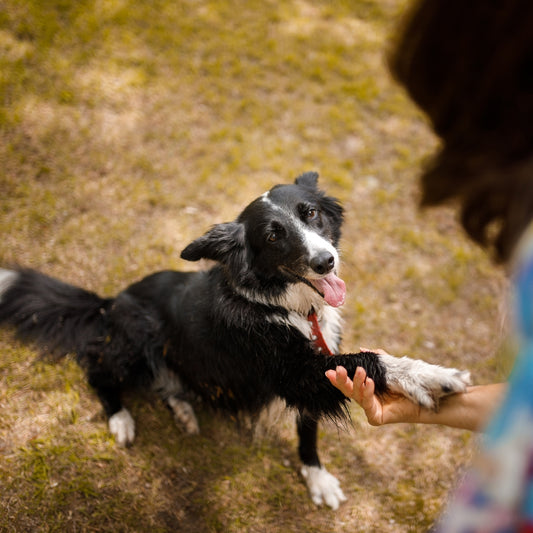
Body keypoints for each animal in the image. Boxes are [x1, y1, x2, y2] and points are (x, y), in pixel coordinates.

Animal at [0, 172, 470, 510]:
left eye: (311, 213)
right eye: (274, 236)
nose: (326, 261)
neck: (289, 307)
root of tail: (108, 302)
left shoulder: (315, 371)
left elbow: (309, 433)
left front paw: (316, 478)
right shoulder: (297, 374)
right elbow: (369, 359)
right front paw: (430, 377)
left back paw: (183, 408)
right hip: (134, 339)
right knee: (97, 368)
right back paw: (120, 418)